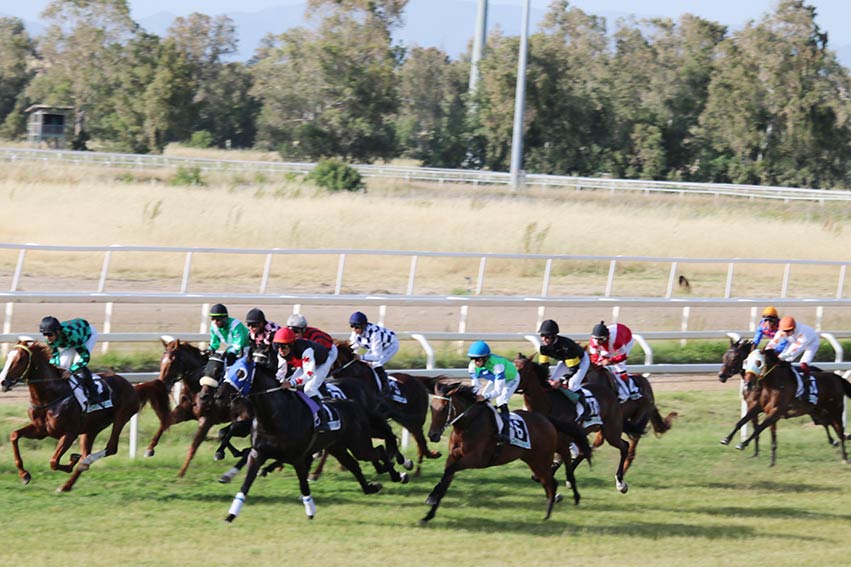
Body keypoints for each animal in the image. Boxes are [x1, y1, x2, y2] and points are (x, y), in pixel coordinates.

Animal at [0, 342, 141, 492]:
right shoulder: (41, 431)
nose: (3, 382)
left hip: (121, 417)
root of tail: (130, 385)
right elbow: (14, 435)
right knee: (87, 451)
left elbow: (53, 462)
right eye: (8, 356)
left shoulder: (70, 434)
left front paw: (72, 461)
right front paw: (24, 475)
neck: (49, 397)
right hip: (91, 429)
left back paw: (85, 462)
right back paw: (66, 485)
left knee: (111, 447)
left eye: (20, 359)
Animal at [216, 360, 410, 524]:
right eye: (229, 368)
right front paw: (231, 515)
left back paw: (398, 474)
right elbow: (246, 483)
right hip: (338, 447)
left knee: (379, 450)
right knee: (355, 464)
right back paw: (371, 486)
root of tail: (353, 403)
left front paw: (310, 511)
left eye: (241, 373)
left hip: (359, 444)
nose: (219, 395)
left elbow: (303, 484)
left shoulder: (298, 457)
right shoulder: (258, 453)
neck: (274, 416)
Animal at [422, 386, 592, 528]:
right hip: (532, 460)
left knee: (553, 480)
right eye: (431, 407)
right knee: (550, 480)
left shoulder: (475, 459)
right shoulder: (454, 457)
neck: (468, 424)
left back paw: (548, 514)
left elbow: (448, 471)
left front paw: (432, 497)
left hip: (541, 459)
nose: (432, 435)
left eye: (444, 408)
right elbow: (446, 478)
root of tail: (546, 419)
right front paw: (429, 512)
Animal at [510, 356, 636, 492]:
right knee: (584, 451)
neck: (547, 404)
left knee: (624, 446)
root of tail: (610, 392)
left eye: (521, 369)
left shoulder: (562, 439)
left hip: (611, 431)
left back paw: (620, 482)